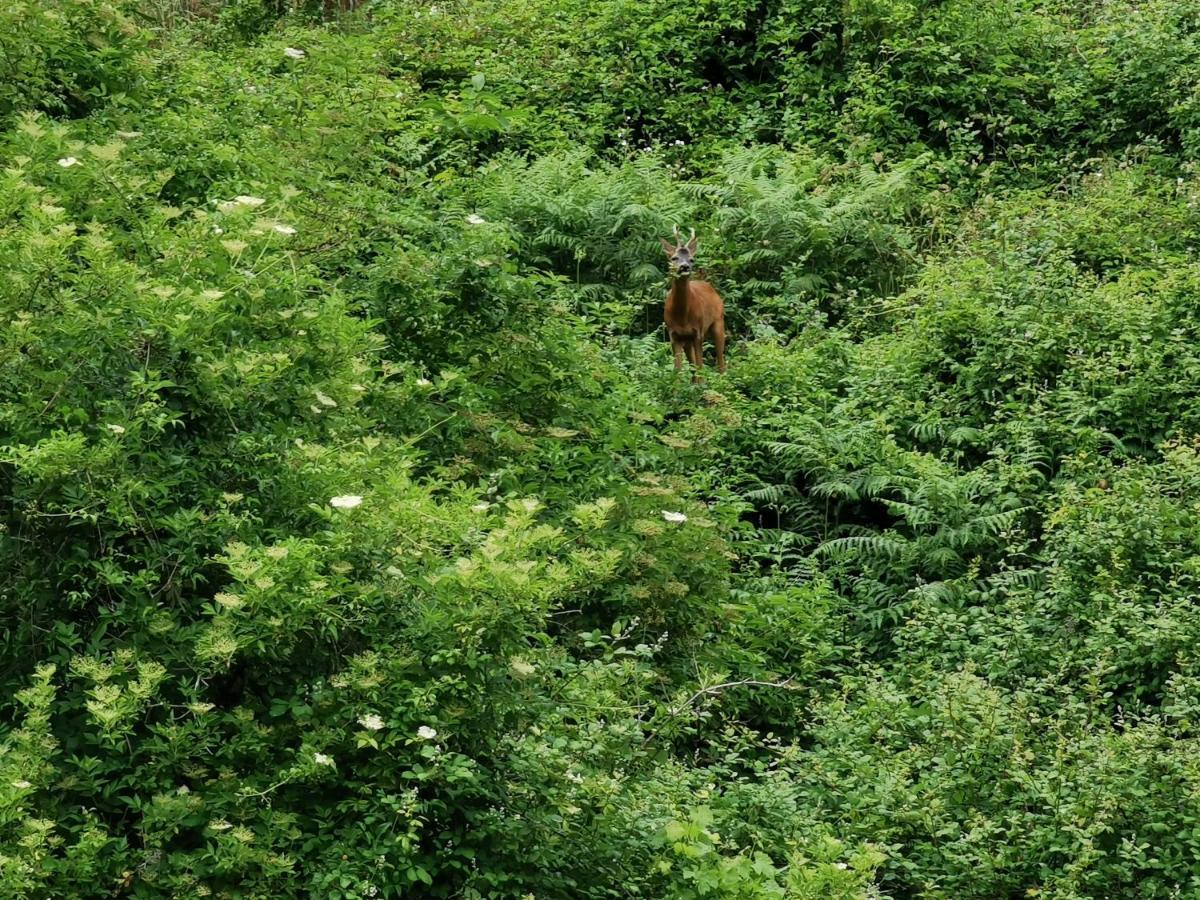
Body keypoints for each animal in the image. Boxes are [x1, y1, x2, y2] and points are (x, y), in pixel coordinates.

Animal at [662, 229, 724, 381]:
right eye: (674, 258)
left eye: (691, 259)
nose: (685, 267)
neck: (682, 317)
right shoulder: (674, 334)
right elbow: (677, 370)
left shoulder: (698, 332)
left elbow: (700, 366)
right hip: (687, 339)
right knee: (692, 363)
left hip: (718, 321)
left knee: (720, 360)